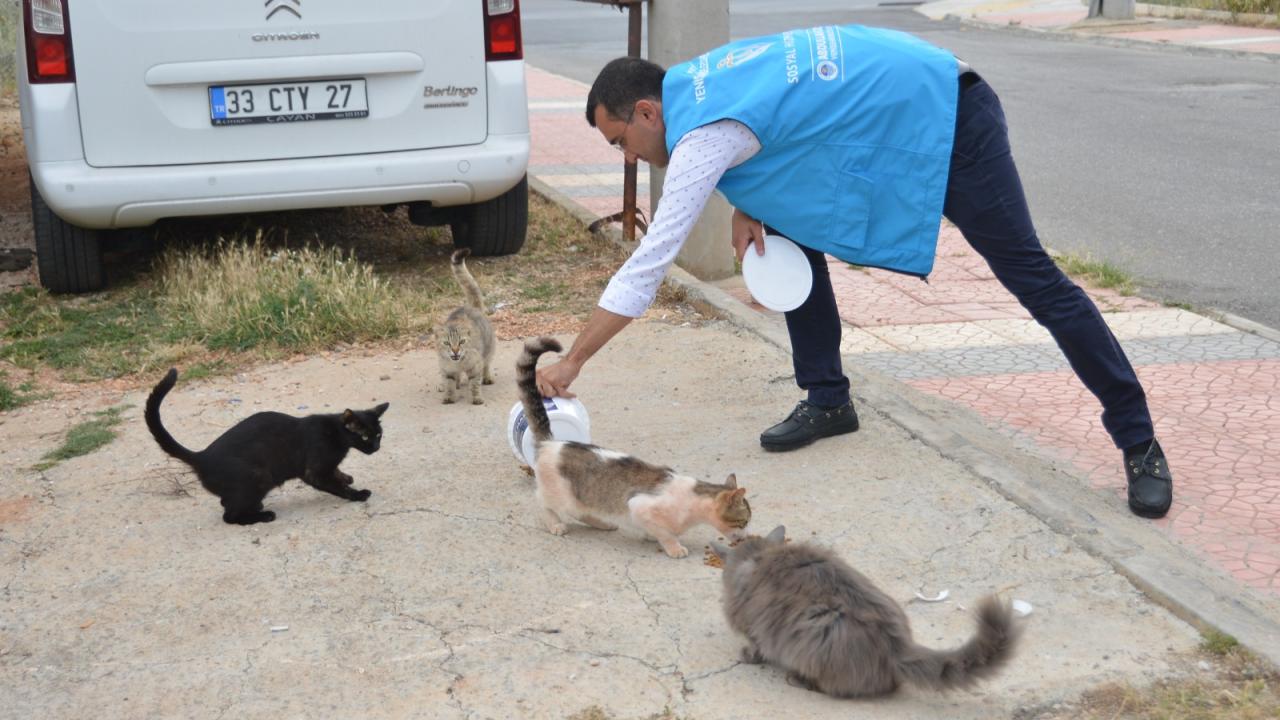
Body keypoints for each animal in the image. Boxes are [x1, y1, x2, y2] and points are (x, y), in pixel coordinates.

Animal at [144, 366, 384, 525]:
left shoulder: (324, 466)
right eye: (365, 437)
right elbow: (335, 486)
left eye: (379, 435)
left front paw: (346, 477)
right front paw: (356, 494)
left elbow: (337, 475)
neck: (335, 433)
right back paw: (263, 515)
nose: (376, 447)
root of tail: (200, 456)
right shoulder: (314, 471)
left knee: (226, 502)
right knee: (229, 516)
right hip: (259, 477)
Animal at [440, 248, 499, 404]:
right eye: (447, 343)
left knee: (487, 363)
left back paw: (487, 378)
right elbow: (449, 383)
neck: (458, 363)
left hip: (488, 349)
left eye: (462, 342)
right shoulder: (447, 370)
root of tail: (473, 307)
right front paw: (449, 396)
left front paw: (477, 398)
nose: (455, 351)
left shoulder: (475, 366)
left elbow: (475, 384)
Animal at [514, 333, 747, 558]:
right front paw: (674, 547)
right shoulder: (638, 506)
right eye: (743, 521)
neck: (693, 503)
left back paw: (603, 524)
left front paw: (652, 536)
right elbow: (664, 532)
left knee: (581, 511)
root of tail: (551, 442)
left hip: (583, 497)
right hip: (561, 494)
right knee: (544, 502)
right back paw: (556, 524)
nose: (745, 538)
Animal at [711, 520, 1018, 696]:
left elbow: (757, 646)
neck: (762, 555)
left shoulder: (753, 626)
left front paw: (747, 655)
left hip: (817, 632)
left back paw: (797, 679)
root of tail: (898, 648)